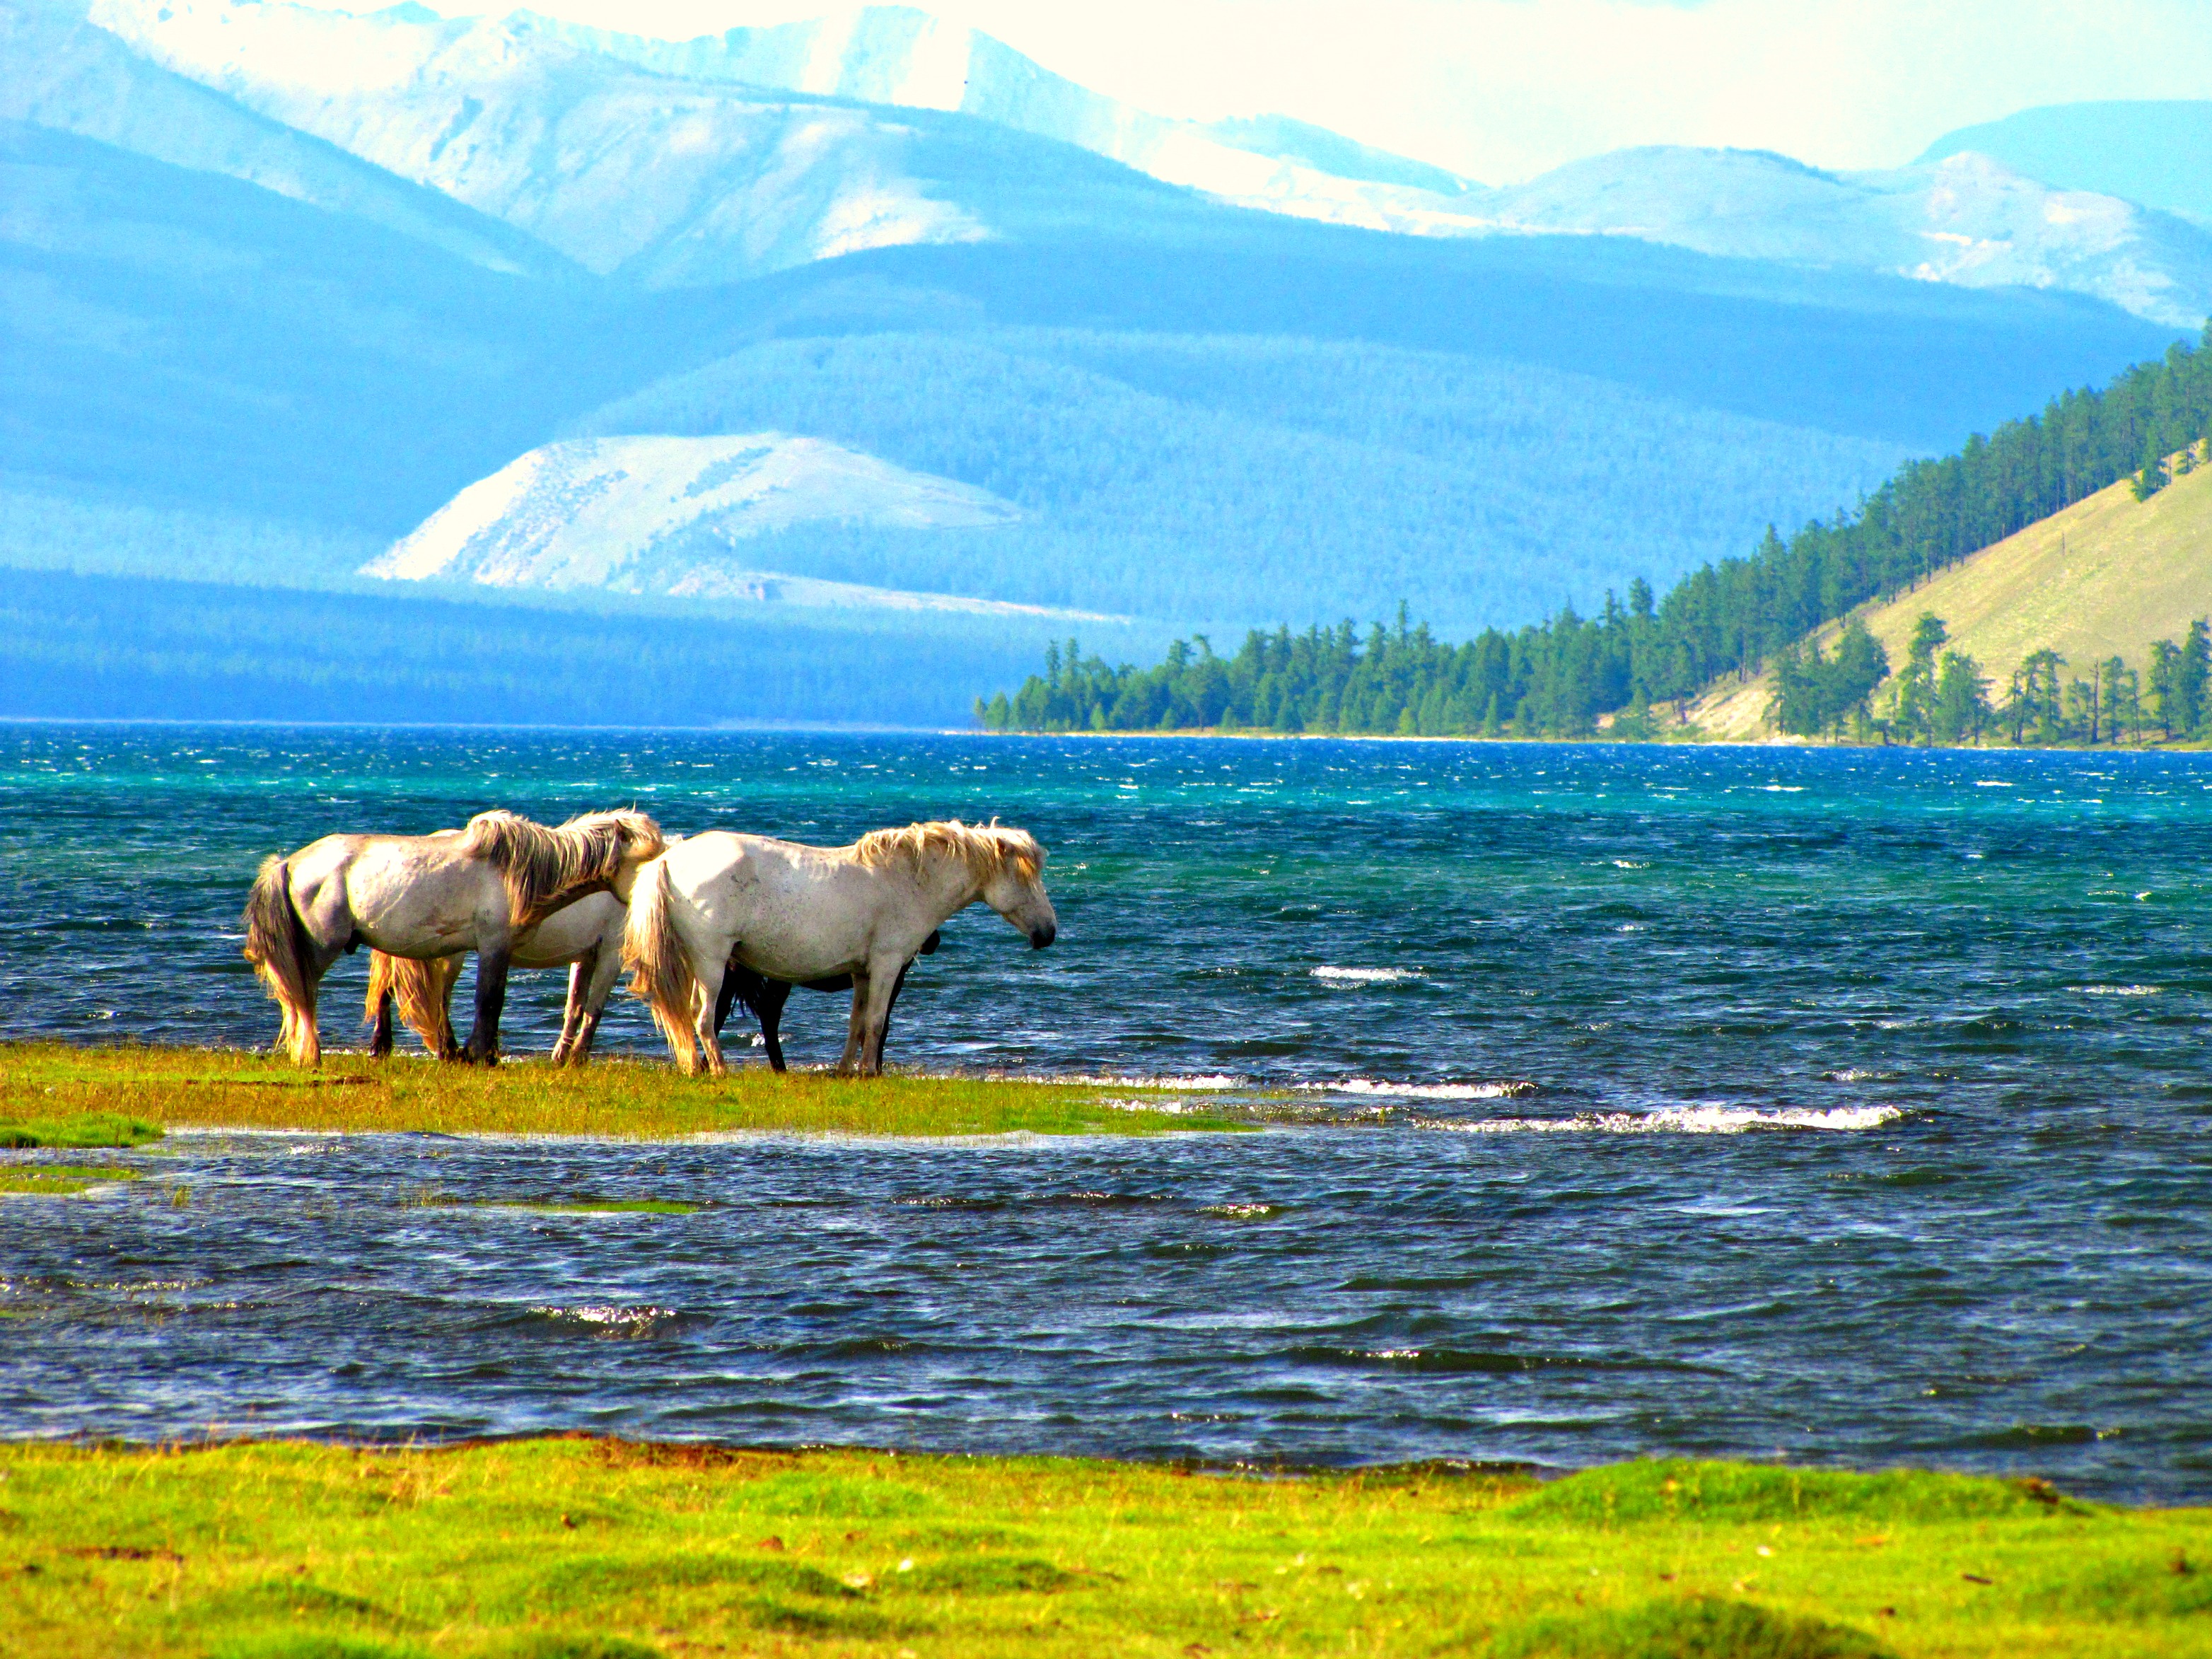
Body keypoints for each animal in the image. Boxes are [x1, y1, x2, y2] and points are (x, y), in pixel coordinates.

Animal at [240, 814, 659, 1070]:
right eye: (646, 861)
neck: (519, 869)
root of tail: (290, 863)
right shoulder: (494, 945)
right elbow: (490, 1001)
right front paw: (483, 1054)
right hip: (320, 947)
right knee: (303, 994)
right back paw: (311, 1053)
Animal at [624, 818, 1052, 1079]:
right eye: (1024, 876)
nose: (1048, 932)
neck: (908, 880)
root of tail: (668, 858)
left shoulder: (862, 972)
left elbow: (857, 1023)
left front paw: (847, 1069)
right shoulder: (886, 965)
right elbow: (877, 1022)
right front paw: (870, 1072)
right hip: (712, 962)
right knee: (703, 1017)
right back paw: (719, 1069)